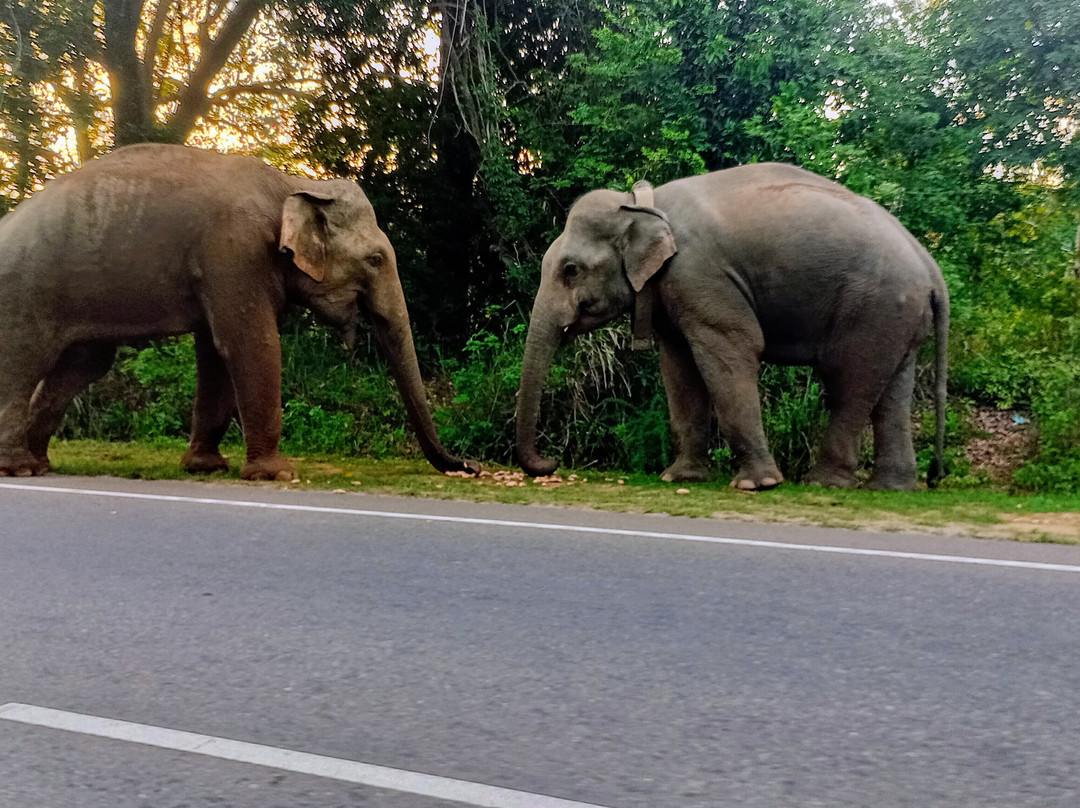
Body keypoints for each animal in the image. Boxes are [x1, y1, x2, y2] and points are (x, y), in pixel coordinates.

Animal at [0, 144, 477, 479]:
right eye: (376, 259)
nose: (470, 466)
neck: (291, 183)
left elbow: (215, 352)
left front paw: (207, 467)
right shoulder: (235, 250)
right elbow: (251, 343)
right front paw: (276, 474)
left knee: (84, 363)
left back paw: (40, 463)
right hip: (25, 290)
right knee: (23, 359)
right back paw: (18, 468)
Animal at [514, 163, 946, 488]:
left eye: (571, 270)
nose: (552, 462)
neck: (640, 205)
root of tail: (929, 264)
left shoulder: (698, 275)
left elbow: (732, 352)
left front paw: (757, 485)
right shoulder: (675, 289)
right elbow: (679, 369)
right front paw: (679, 477)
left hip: (874, 307)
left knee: (849, 383)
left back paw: (822, 482)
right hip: (897, 315)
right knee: (893, 391)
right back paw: (892, 488)